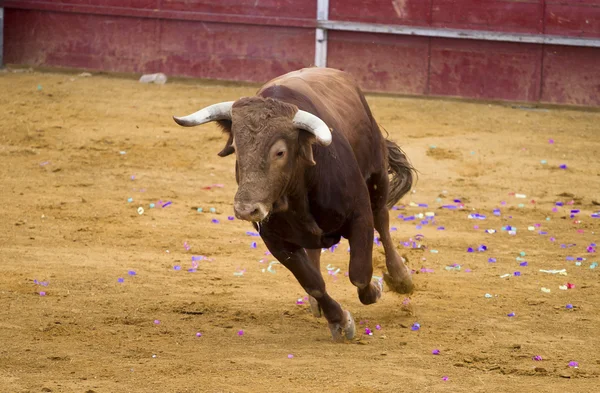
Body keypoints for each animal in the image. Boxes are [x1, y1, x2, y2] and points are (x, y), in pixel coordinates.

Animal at [173, 67, 418, 340]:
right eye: (236, 147)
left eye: (280, 152)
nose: (246, 209)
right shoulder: (274, 239)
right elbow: (313, 284)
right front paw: (339, 321)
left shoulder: (359, 215)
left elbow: (359, 273)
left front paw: (376, 288)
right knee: (315, 251)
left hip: (377, 175)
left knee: (382, 220)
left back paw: (401, 278)